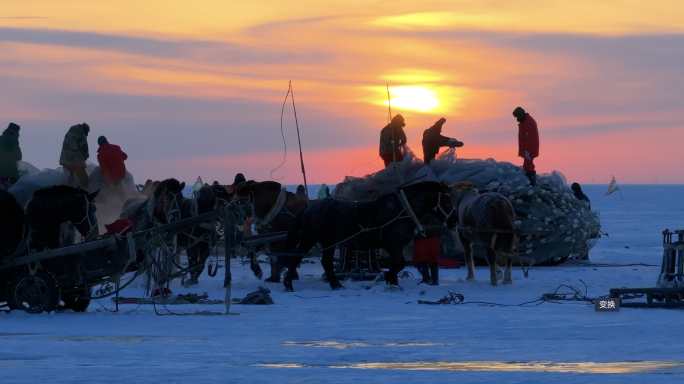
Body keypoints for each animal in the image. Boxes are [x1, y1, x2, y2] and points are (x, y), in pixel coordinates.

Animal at [280, 182, 456, 292]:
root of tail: (309, 207)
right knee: (296, 258)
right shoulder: (396, 244)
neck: (402, 210)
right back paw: (288, 284)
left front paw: (387, 279)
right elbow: (396, 264)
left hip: (329, 241)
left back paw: (336, 285)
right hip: (309, 239)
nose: (454, 221)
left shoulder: (391, 246)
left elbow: (398, 265)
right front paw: (393, 284)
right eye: (448, 200)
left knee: (327, 262)